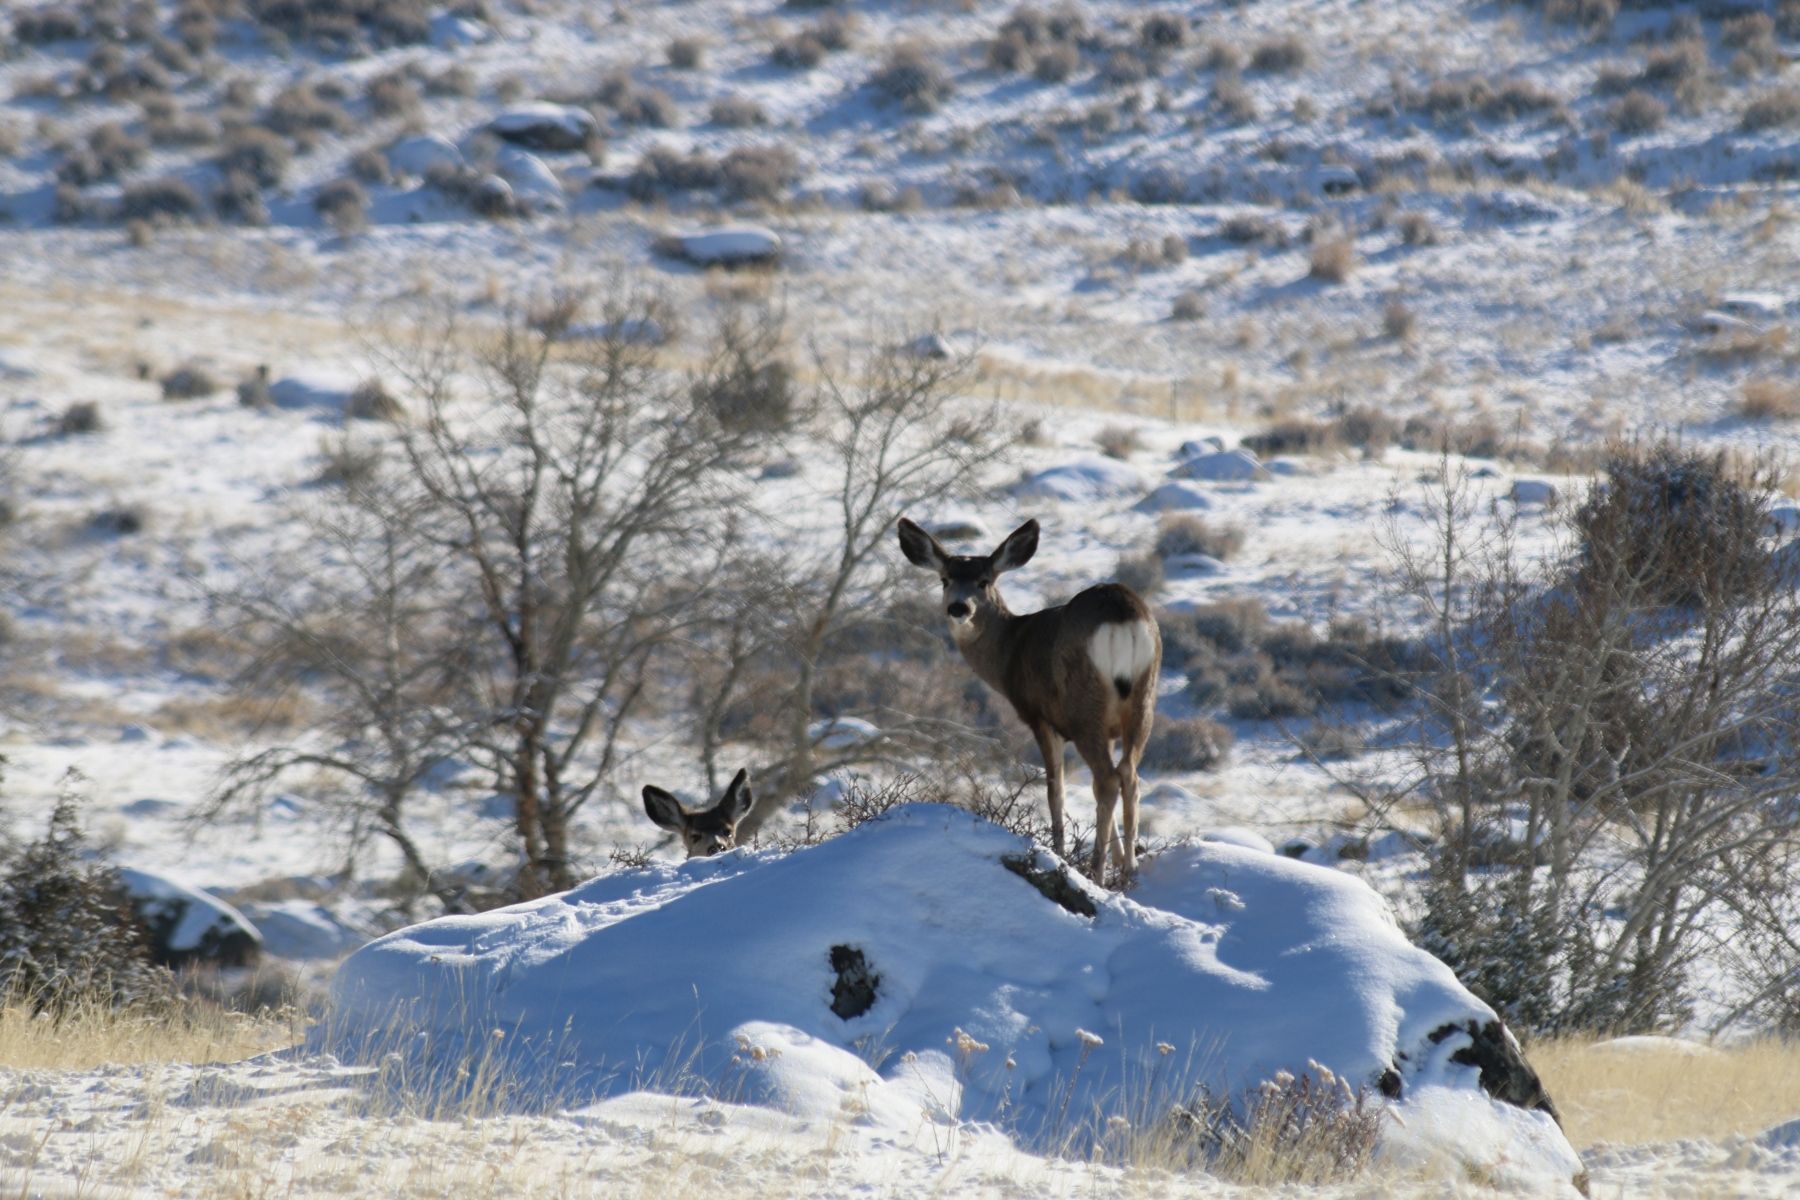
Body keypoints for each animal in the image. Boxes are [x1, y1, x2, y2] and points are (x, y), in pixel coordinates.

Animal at [896, 517, 1161, 881]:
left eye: (983, 581)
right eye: (945, 579)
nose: (958, 607)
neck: (1011, 649)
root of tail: (1121, 614)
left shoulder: (1038, 715)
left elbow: (1055, 790)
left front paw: (1061, 854)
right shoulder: (1107, 730)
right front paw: (1119, 857)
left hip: (1083, 706)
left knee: (1107, 779)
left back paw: (1095, 872)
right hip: (1142, 700)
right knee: (1128, 775)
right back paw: (1129, 871)